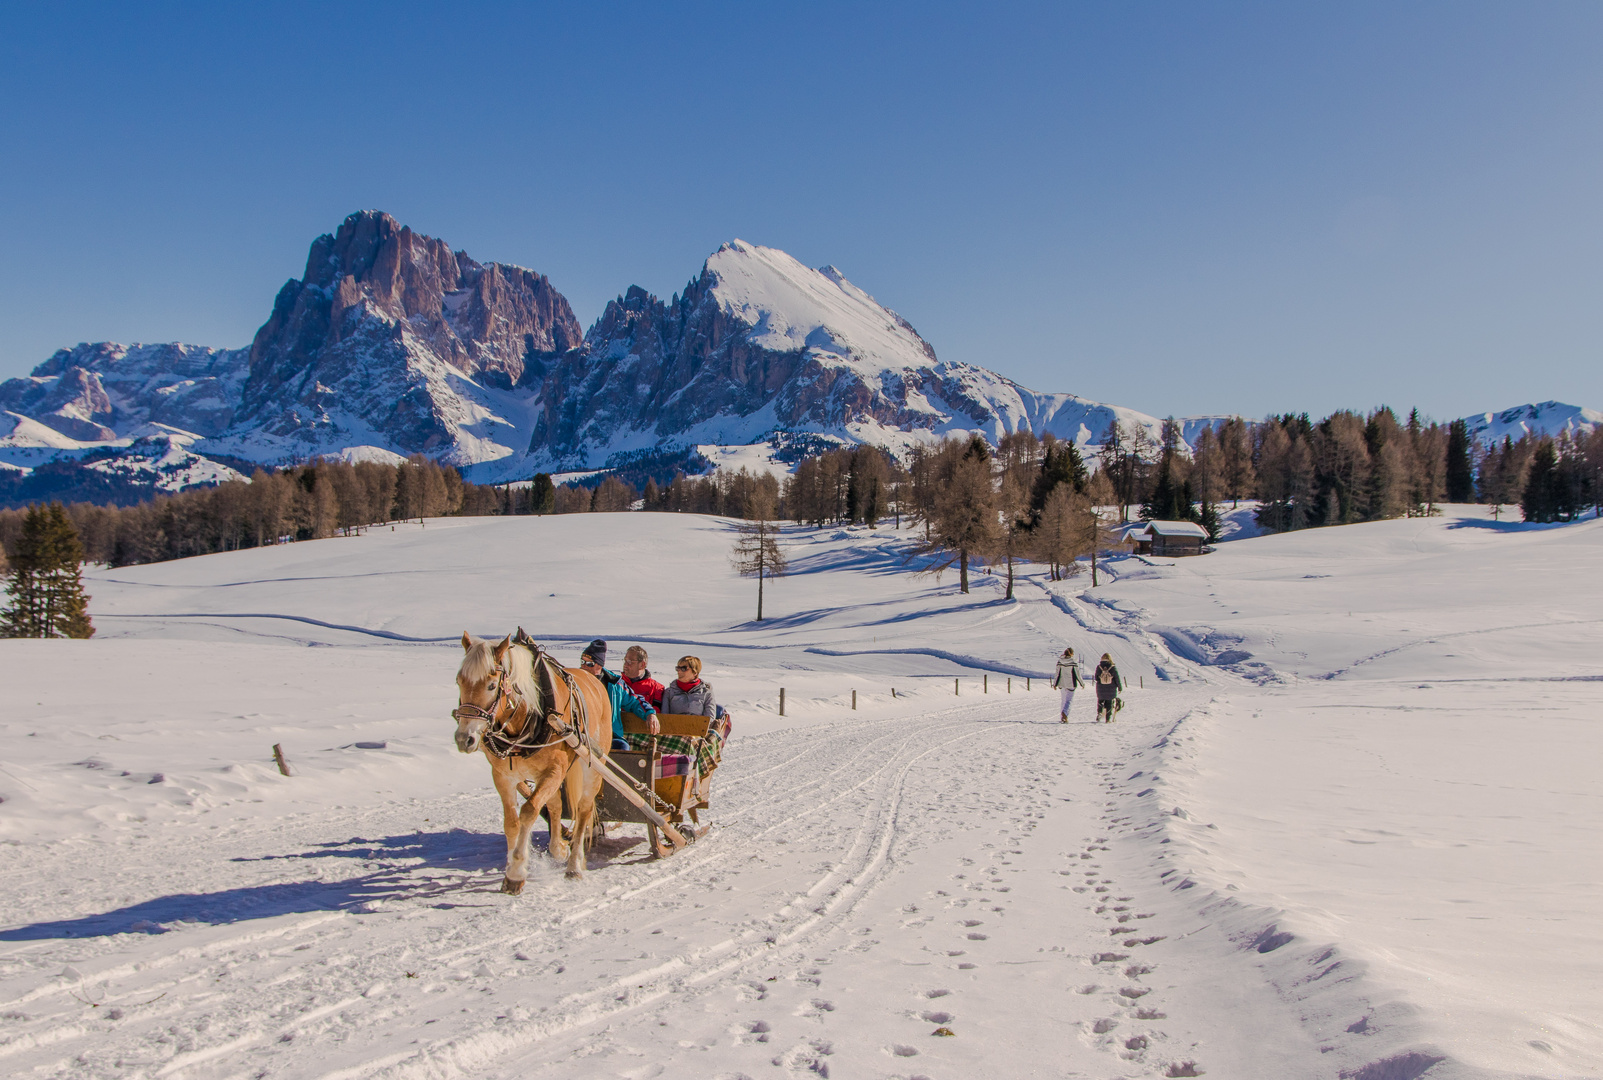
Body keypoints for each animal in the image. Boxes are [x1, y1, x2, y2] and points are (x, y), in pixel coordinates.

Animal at [455, 631, 609, 884]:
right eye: (459, 681)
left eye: (491, 685)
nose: (464, 739)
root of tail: (594, 680)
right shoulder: (503, 775)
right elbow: (512, 822)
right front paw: (512, 865)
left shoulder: (555, 770)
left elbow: (528, 811)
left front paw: (516, 872)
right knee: (556, 805)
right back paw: (559, 848)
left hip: (593, 766)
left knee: (584, 810)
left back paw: (574, 865)